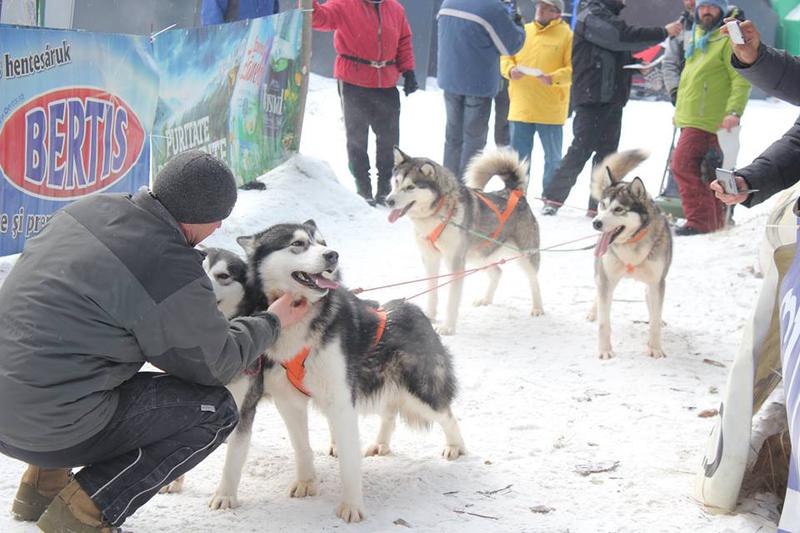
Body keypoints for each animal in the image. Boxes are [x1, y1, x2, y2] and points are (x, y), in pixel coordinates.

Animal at [209, 220, 466, 524]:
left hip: (417, 392)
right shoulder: (289, 401)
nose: (332, 255)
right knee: (389, 414)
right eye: (298, 244)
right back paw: (380, 443)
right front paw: (306, 481)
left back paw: (456, 446)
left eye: (322, 242)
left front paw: (352, 505)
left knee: (446, 414)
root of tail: (410, 306)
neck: (301, 323)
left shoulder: (341, 402)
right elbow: (301, 446)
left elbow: (349, 460)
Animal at [382, 148, 544, 334]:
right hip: (479, 255)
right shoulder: (430, 259)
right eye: (396, 182)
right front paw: (429, 316)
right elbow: (432, 291)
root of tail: (514, 192)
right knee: (497, 272)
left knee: (534, 280)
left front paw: (447, 327)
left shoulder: (455, 263)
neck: (436, 214)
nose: (388, 201)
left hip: (525, 255)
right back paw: (485, 299)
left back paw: (538, 308)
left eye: (410, 187)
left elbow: (452, 300)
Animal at [592, 148, 672, 360]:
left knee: (651, 303)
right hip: (603, 275)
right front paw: (604, 350)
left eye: (619, 209)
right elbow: (604, 322)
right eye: (603, 205)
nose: (596, 222)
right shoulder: (606, 279)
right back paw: (593, 312)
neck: (631, 244)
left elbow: (654, 320)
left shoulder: (656, 282)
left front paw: (655, 348)